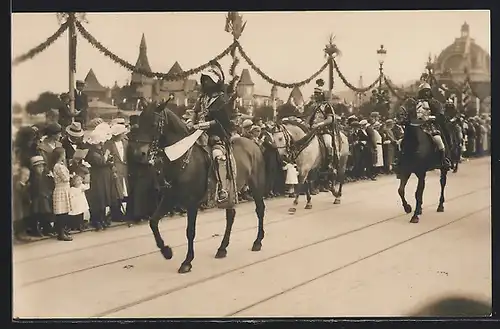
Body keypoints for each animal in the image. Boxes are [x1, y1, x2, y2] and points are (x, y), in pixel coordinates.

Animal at [131, 102, 268, 272]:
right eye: (139, 123)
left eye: (153, 124)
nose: (139, 154)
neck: (181, 157)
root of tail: (253, 144)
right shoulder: (169, 198)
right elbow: (153, 222)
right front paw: (166, 251)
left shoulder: (191, 203)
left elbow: (190, 231)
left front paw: (187, 261)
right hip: (231, 192)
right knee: (231, 216)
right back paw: (222, 248)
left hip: (256, 185)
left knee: (260, 210)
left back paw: (257, 242)